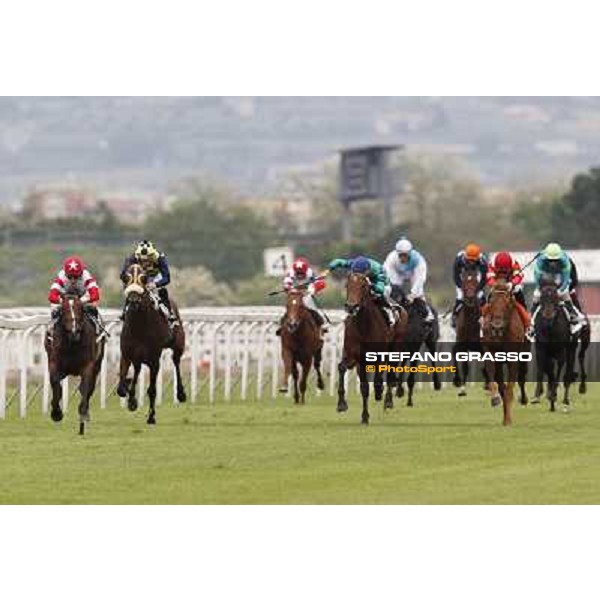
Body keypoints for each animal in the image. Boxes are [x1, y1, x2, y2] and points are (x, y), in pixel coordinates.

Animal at [44, 292, 105, 434]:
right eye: (64, 309)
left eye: (80, 309)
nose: (74, 331)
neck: (72, 343)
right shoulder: (54, 364)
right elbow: (56, 387)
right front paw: (56, 413)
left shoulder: (88, 367)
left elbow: (85, 388)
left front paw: (82, 417)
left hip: (97, 365)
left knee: (89, 389)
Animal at [115, 264, 185, 424]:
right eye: (126, 277)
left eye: (144, 278)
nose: (133, 300)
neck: (139, 325)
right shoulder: (126, 355)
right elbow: (121, 387)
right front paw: (131, 400)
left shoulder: (154, 360)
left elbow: (152, 390)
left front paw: (151, 416)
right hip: (138, 358)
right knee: (137, 370)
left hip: (178, 345)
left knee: (176, 362)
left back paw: (181, 393)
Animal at [338, 274, 408, 424]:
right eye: (347, 285)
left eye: (363, 286)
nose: (351, 306)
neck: (363, 326)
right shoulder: (354, 357)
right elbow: (346, 371)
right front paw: (343, 405)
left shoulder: (377, 355)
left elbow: (378, 378)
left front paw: (379, 391)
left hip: (396, 348)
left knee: (390, 373)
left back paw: (387, 400)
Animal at [480, 282, 528, 426]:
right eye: (491, 301)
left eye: (507, 302)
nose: (496, 326)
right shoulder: (490, 351)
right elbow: (493, 377)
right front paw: (495, 398)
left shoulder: (514, 357)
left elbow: (510, 387)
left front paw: (508, 420)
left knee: (521, 378)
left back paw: (523, 399)